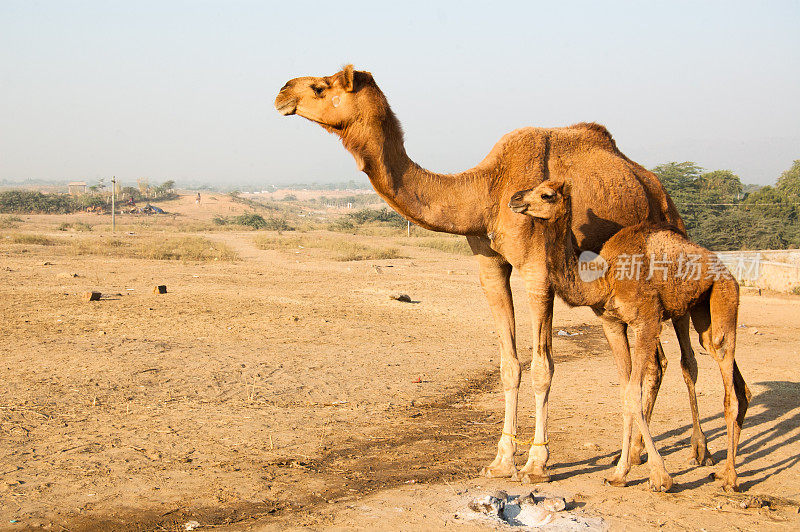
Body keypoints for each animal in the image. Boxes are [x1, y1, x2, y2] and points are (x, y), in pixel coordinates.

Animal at [276, 65, 712, 482]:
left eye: (320, 86)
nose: (282, 92)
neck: (484, 192)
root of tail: (655, 186)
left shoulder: (538, 270)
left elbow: (541, 368)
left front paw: (536, 463)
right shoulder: (489, 266)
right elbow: (508, 365)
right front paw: (501, 461)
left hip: (670, 250)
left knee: (686, 359)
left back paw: (698, 451)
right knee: (655, 364)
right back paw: (636, 455)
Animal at [510, 181, 748, 492]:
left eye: (546, 194)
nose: (514, 199)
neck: (604, 278)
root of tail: (728, 272)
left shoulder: (646, 320)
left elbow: (634, 393)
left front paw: (660, 476)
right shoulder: (612, 323)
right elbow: (624, 393)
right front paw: (619, 473)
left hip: (723, 295)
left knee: (722, 374)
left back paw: (729, 476)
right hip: (699, 311)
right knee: (722, 367)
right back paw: (719, 467)